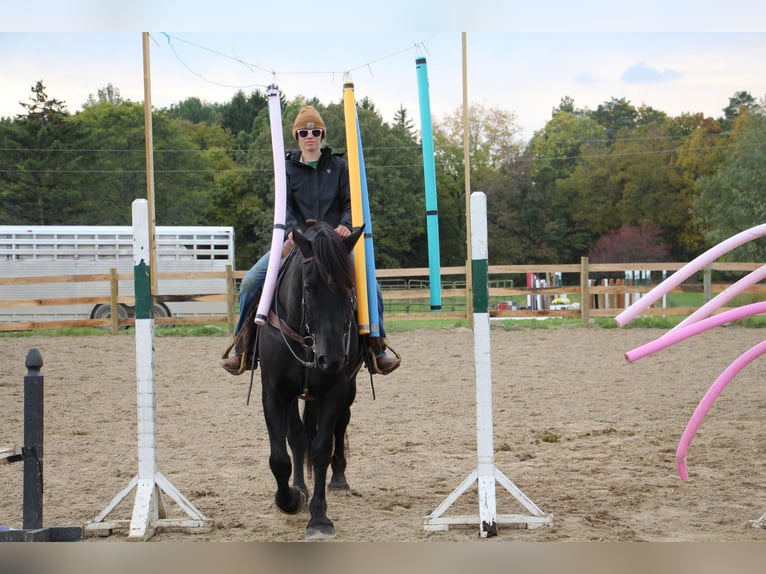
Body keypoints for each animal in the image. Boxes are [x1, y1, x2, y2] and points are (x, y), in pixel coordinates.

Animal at [258, 220, 366, 540]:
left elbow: (320, 450)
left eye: (349, 287)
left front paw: (319, 517)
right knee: (296, 436)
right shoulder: (274, 391)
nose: (331, 359)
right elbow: (280, 456)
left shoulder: (336, 389)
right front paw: (291, 499)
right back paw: (300, 487)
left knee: (340, 425)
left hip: (347, 389)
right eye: (309, 287)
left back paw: (339, 479)